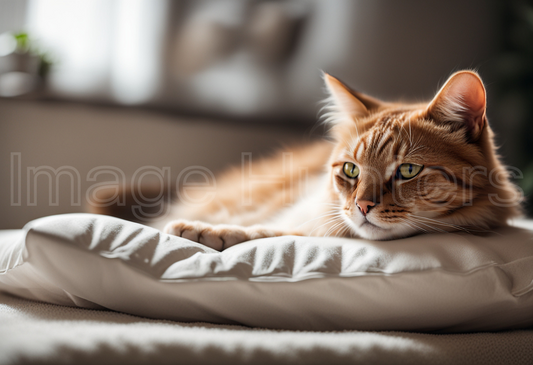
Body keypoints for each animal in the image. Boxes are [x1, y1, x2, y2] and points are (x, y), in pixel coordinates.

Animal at [93, 69, 520, 249]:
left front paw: (207, 233)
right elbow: (272, 228)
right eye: (350, 170)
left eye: (408, 171)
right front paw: (205, 230)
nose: (361, 206)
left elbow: (272, 233)